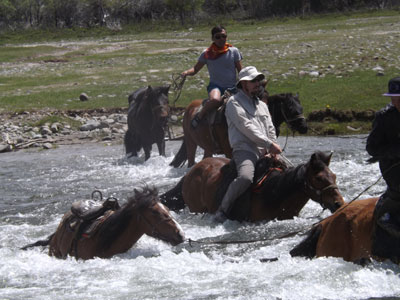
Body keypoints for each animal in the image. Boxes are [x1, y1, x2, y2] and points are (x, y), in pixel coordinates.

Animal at [170, 93, 308, 168]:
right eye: (291, 109)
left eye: (301, 108)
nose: (304, 127)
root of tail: (189, 108)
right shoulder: (229, 151)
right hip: (190, 143)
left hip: (208, 147)